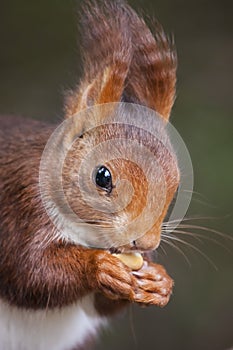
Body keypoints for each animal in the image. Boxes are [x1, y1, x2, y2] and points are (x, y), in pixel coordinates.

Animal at [0, 0, 178, 350]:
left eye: (175, 185)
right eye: (102, 177)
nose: (144, 242)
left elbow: (101, 307)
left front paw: (159, 280)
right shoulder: (19, 206)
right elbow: (29, 274)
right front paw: (99, 266)